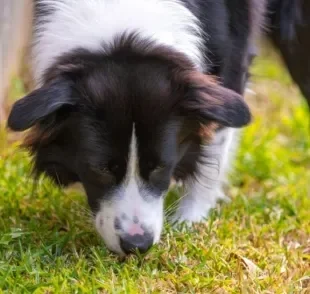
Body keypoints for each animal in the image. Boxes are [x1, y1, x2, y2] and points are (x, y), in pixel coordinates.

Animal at [8, 0, 306, 255]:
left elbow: (211, 153)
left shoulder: (231, 58)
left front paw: (188, 222)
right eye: (101, 169)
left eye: (162, 167)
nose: (137, 245)